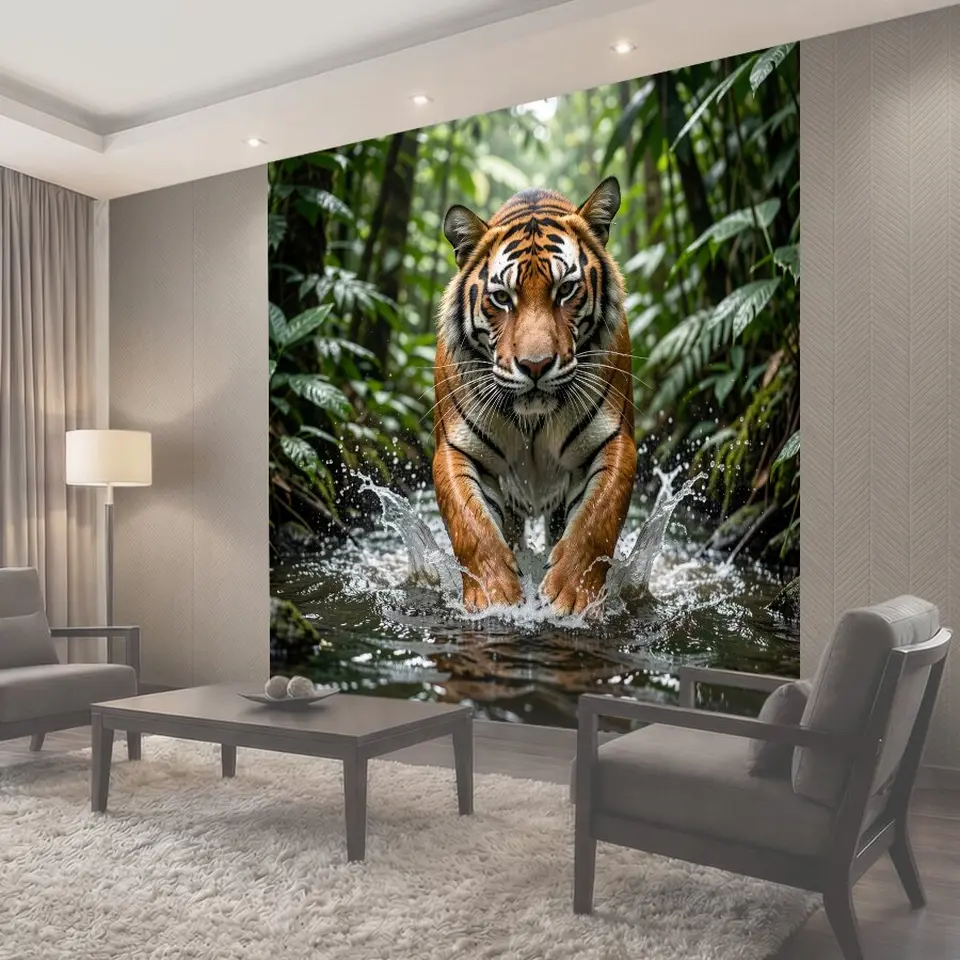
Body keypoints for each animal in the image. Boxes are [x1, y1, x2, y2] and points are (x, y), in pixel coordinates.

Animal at [432, 176, 637, 616]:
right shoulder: (456, 447)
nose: (536, 365)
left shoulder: (615, 439)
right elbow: (470, 526)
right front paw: (495, 596)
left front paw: (569, 596)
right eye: (501, 298)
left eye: (566, 290)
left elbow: (597, 519)